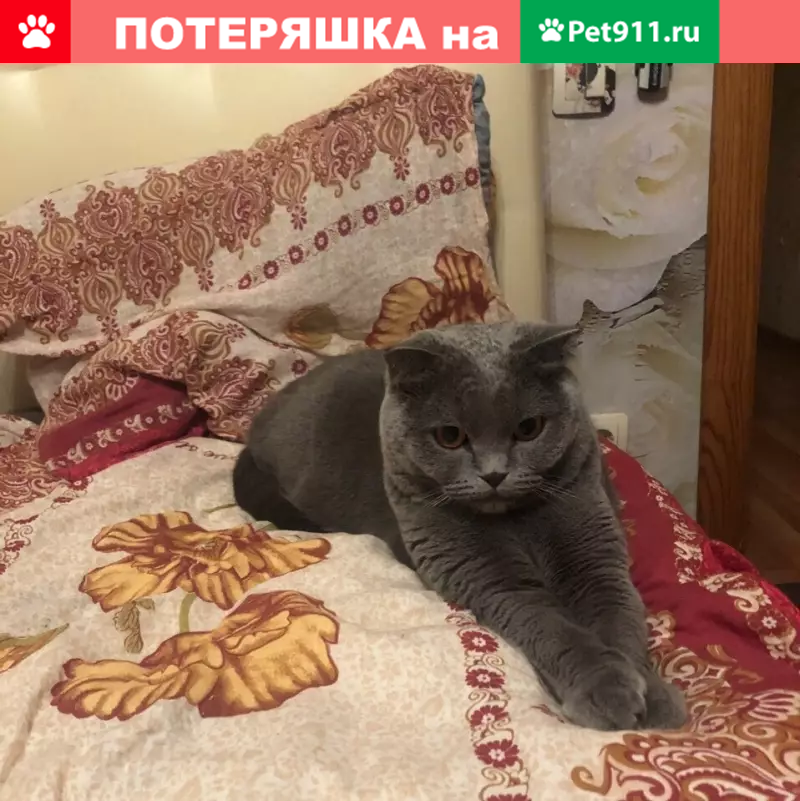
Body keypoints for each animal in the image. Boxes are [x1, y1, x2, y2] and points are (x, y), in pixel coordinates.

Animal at [233, 321, 687, 732]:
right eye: (450, 436)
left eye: (529, 429)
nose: (494, 474)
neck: (517, 521)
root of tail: (256, 427)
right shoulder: (491, 579)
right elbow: (556, 630)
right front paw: (606, 691)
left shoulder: (594, 555)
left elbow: (620, 620)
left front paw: (654, 698)